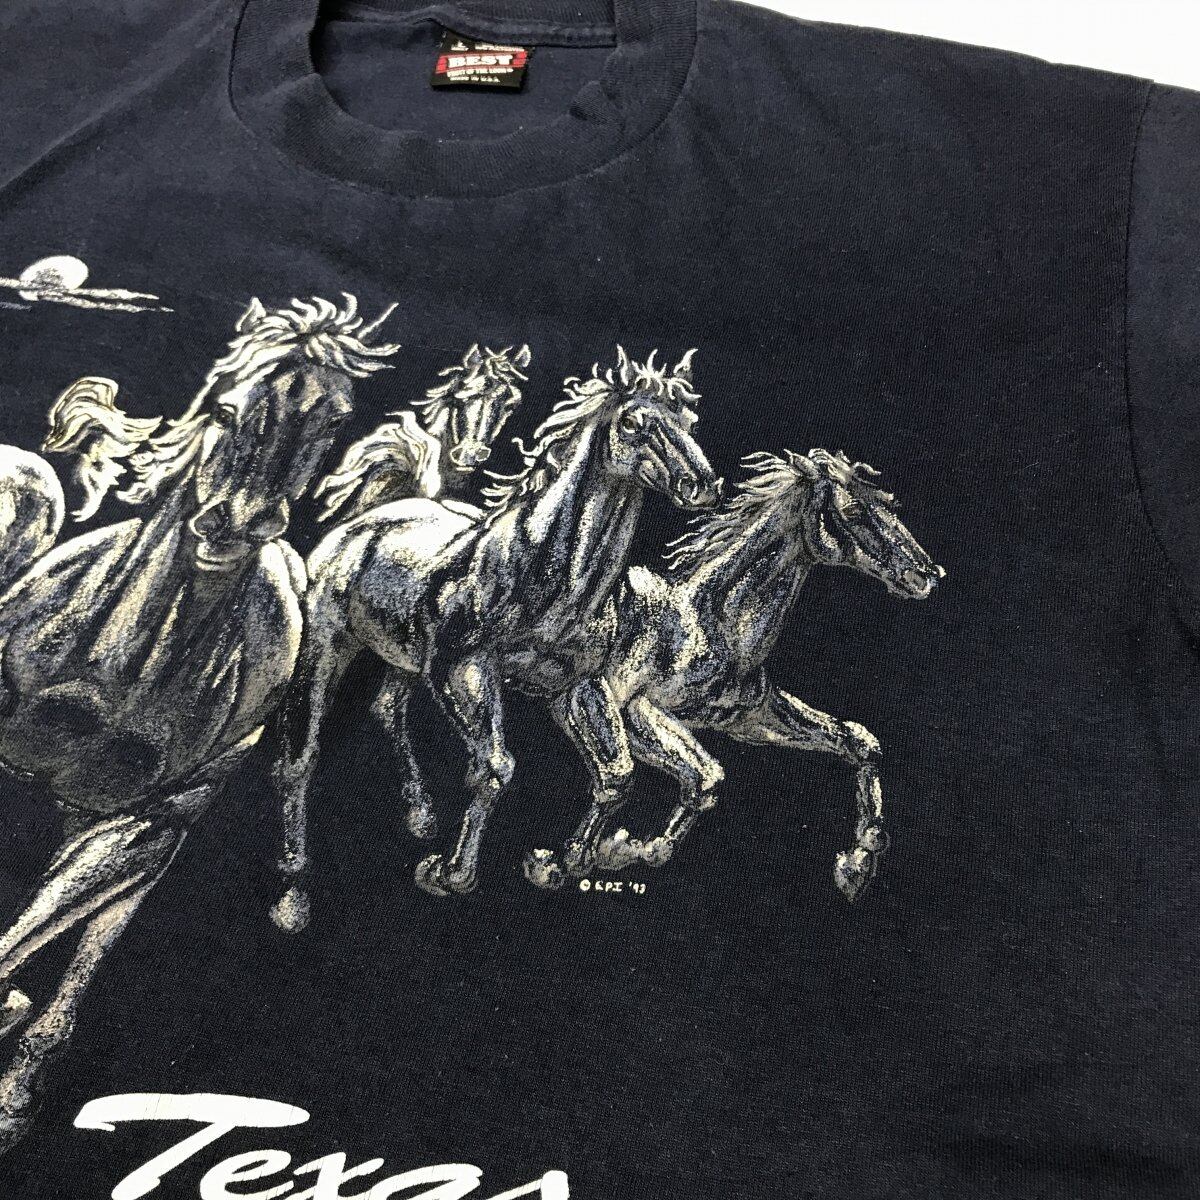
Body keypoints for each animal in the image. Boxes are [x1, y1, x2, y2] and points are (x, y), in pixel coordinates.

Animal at [524, 449, 944, 898]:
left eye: (888, 505)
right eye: (853, 511)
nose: (925, 574)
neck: (714, 621)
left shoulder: (749, 717)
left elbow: (858, 742)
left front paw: (858, 863)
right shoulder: (616, 705)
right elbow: (674, 777)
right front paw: (569, 860)